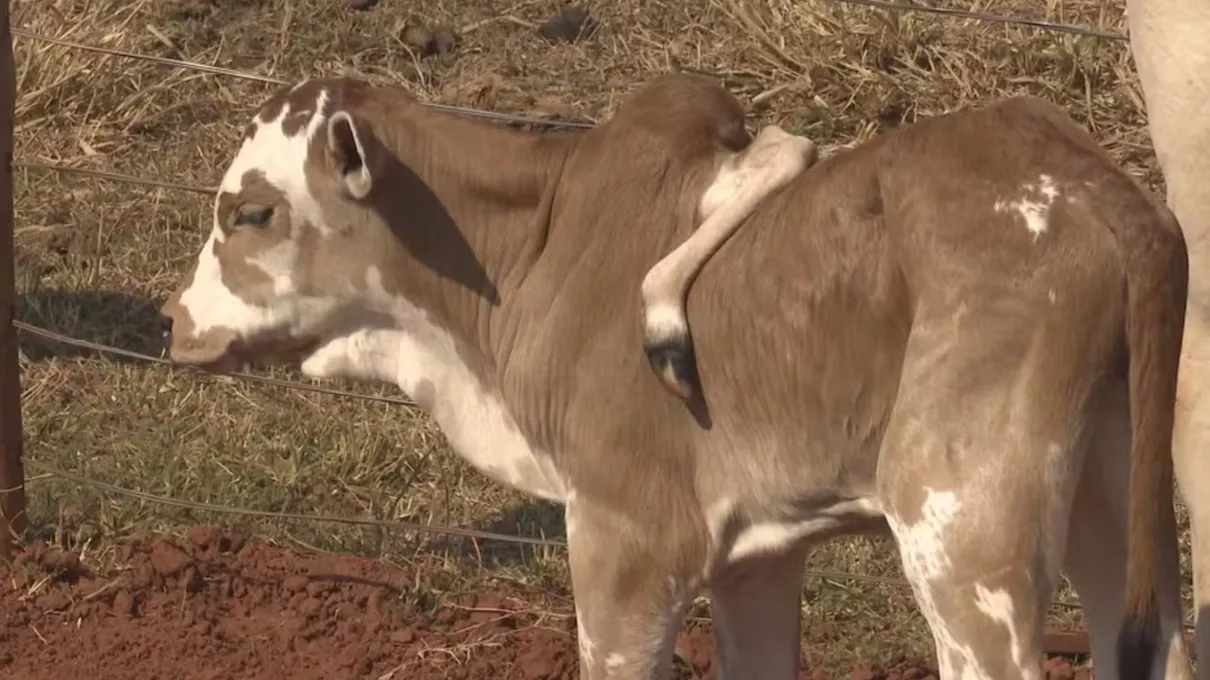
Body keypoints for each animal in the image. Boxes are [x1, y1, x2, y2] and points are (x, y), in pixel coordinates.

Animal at [160, 74, 1190, 677]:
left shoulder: (628, 539)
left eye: (250, 212)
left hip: (964, 539)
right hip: (1110, 503)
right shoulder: (757, 556)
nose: (176, 323)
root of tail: (1089, 181)